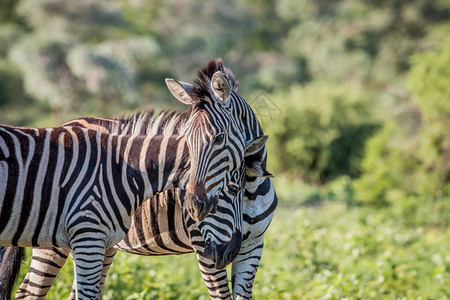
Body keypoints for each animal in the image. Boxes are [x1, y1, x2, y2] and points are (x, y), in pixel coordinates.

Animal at [0, 59, 278, 300]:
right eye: (185, 137)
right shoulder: (204, 247)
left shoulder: (253, 246)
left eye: (219, 138)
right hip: (53, 242)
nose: (194, 206)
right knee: (28, 292)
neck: (250, 190)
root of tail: (69, 122)